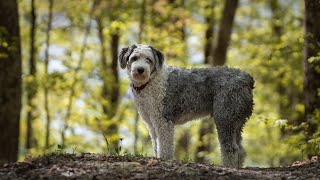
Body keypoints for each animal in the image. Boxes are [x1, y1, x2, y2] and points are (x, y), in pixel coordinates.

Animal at [119, 44, 254, 167]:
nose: (140, 69)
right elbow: (156, 144)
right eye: (134, 58)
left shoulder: (163, 120)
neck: (150, 81)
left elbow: (164, 145)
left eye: (148, 59)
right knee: (241, 150)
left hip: (224, 118)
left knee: (231, 148)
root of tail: (246, 78)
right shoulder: (151, 123)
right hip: (236, 121)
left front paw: (164, 160)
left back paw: (229, 167)